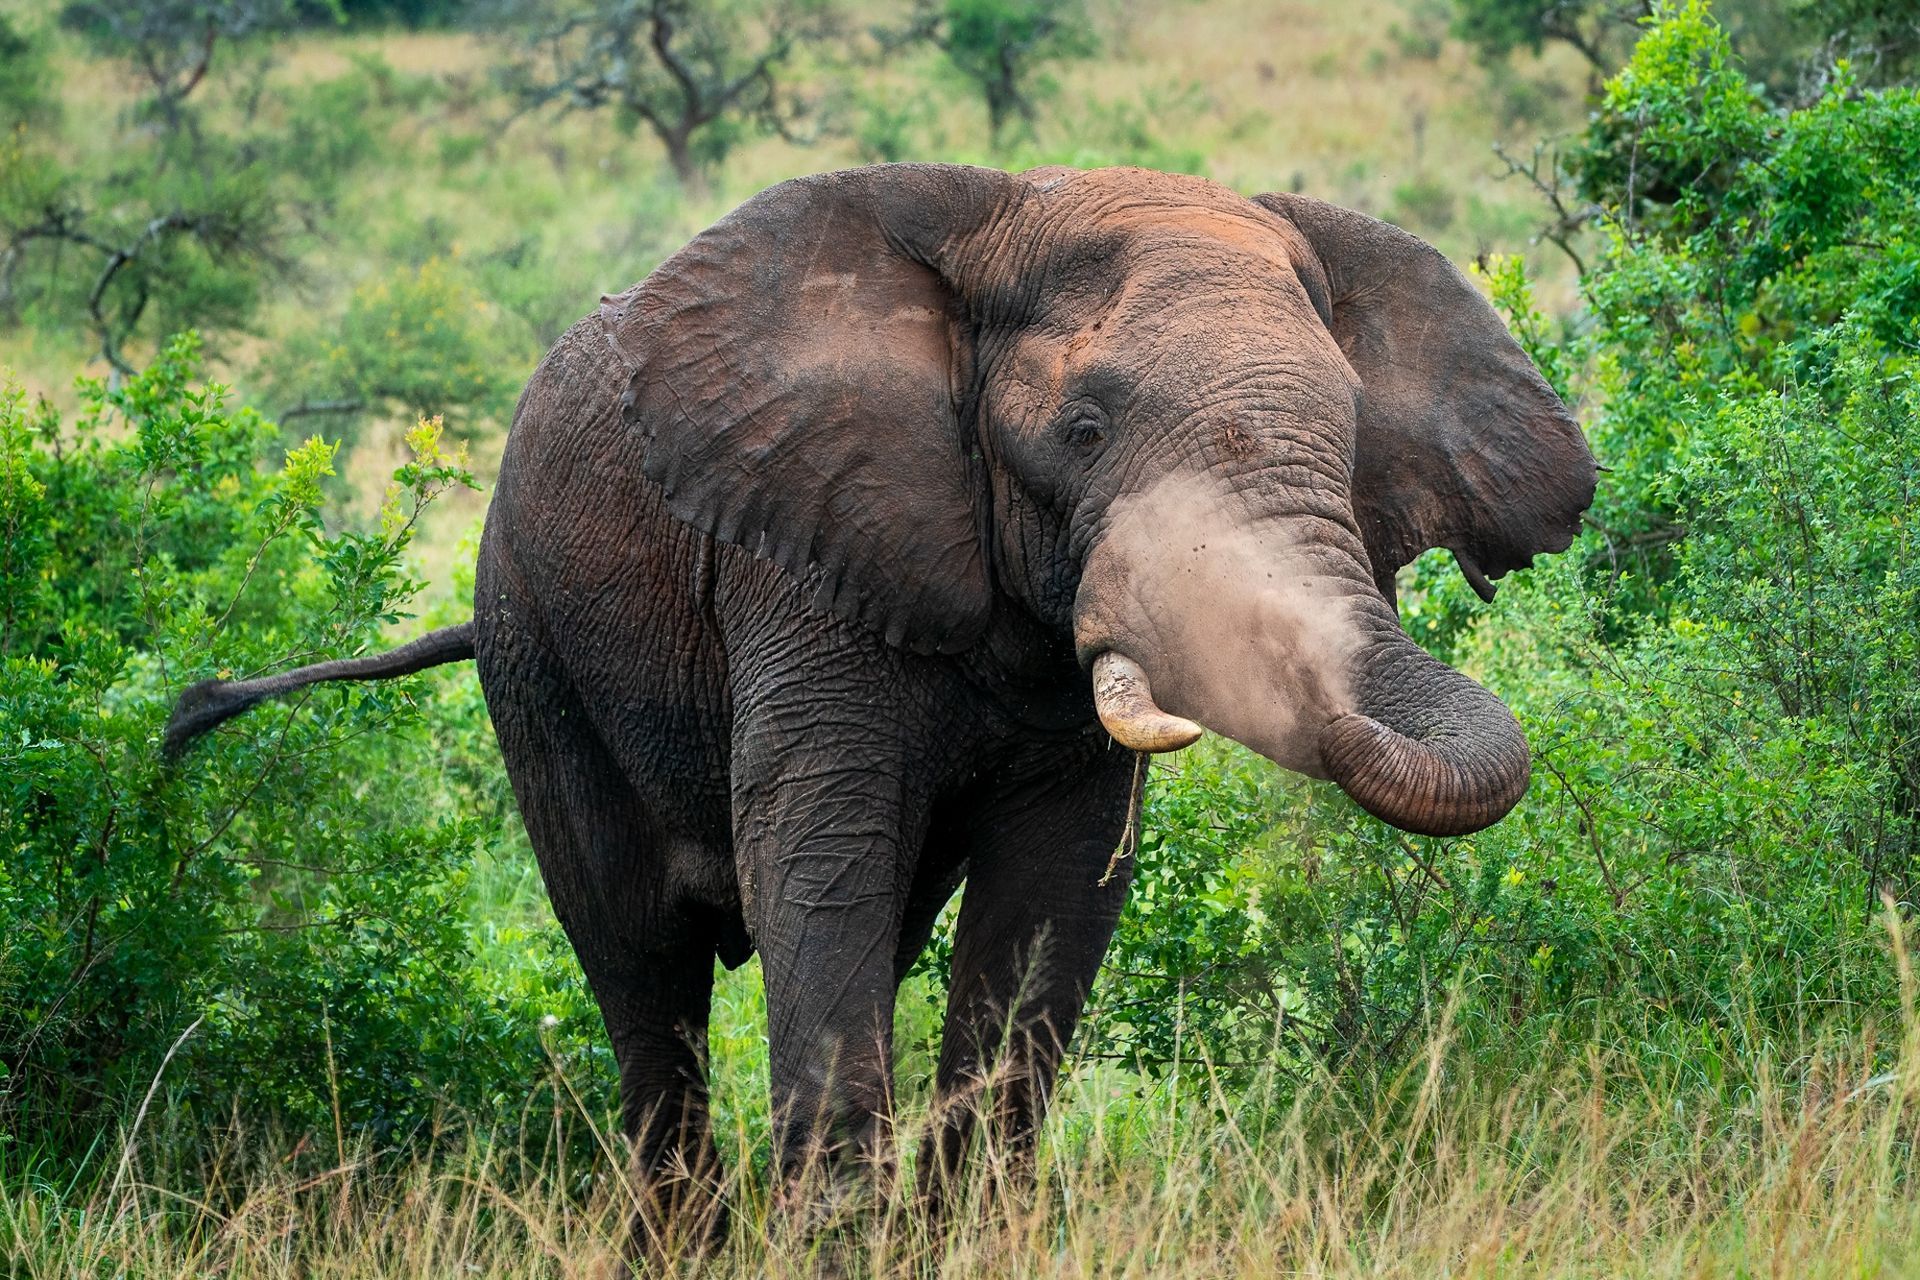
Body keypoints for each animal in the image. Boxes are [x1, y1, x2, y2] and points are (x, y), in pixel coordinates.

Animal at [166, 163, 1595, 1250]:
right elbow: (823, 853)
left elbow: (1052, 895)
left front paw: (969, 1239)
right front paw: (839, 1244)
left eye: (1351, 436)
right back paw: (686, 1241)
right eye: (1084, 429)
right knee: (638, 961)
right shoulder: (801, 557)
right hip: (534, 641)